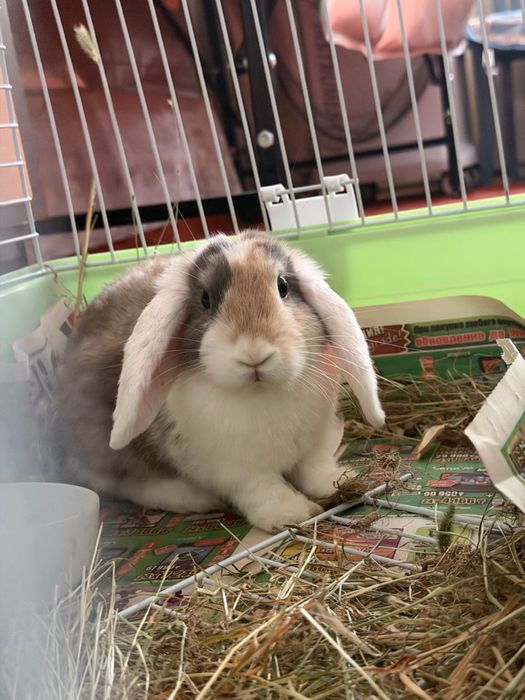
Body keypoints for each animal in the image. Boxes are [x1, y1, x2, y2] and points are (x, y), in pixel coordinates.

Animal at [54, 231, 385, 532]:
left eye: (283, 286)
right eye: (205, 299)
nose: (254, 354)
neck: (259, 394)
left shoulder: (314, 445)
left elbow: (315, 469)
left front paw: (342, 481)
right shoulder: (235, 469)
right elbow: (263, 490)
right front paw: (291, 514)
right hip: (106, 449)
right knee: (125, 482)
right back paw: (190, 497)